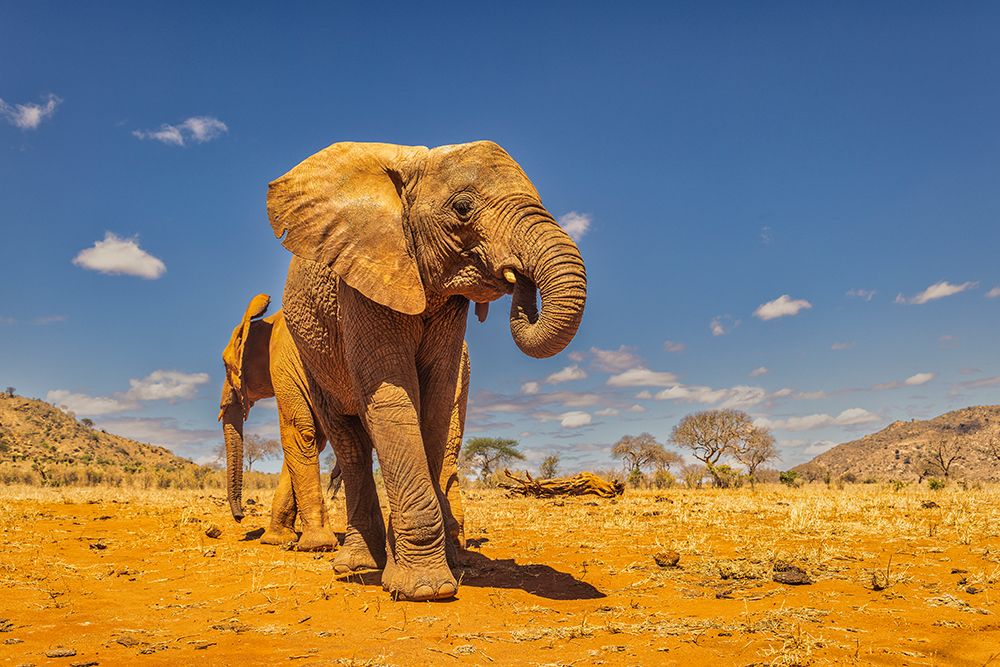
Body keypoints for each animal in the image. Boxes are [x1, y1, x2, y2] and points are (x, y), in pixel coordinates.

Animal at [219, 293, 340, 550]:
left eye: (224, 365)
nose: (240, 516)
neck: (266, 321)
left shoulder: (284, 360)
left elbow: (298, 433)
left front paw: (317, 544)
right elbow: (314, 439)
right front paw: (277, 540)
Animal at [263, 140, 587, 600]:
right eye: (463, 208)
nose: (520, 281)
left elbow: (434, 402)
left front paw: (427, 571)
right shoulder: (363, 282)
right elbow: (393, 399)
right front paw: (424, 589)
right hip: (311, 352)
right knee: (348, 441)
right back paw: (355, 565)